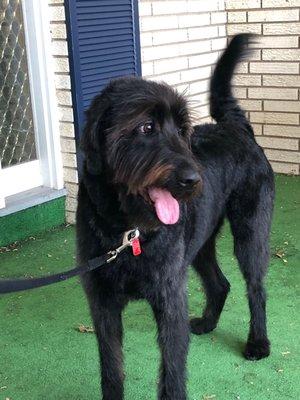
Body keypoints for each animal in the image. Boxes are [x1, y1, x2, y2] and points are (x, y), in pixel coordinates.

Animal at [76, 35, 274, 400]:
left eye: (182, 129)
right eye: (146, 127)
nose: (192, 180)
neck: (126, 230)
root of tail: (236, 128)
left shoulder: (169, 300)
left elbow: (172, 372)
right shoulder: (103, 303)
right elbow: (111, 368)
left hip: (251, 234)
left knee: (256, 288)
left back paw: (257, 343)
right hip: (199, 244)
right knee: (220, 284)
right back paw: (208, 323)